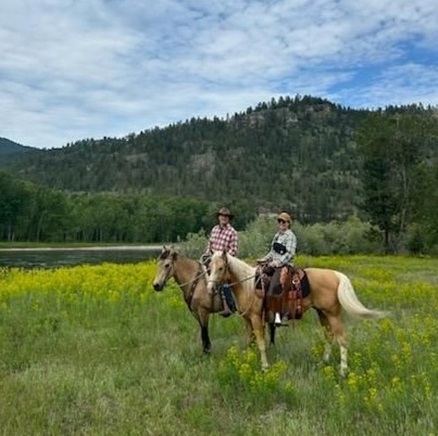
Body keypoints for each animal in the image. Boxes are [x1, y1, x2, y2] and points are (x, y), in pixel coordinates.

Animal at [206, 250, 386, 376]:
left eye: (221, 268)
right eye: (209, 268)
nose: (210, 288)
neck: (249, 285)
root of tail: (336, 275)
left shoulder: (257, 318)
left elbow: (261, 343)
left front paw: (265, 367)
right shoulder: (247, 320)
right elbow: (250, 342)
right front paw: (248, 361)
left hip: (333, 314)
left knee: (342, 339)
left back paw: (343, 371)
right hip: (322, 314)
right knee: (329, 336)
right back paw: (324, 361)